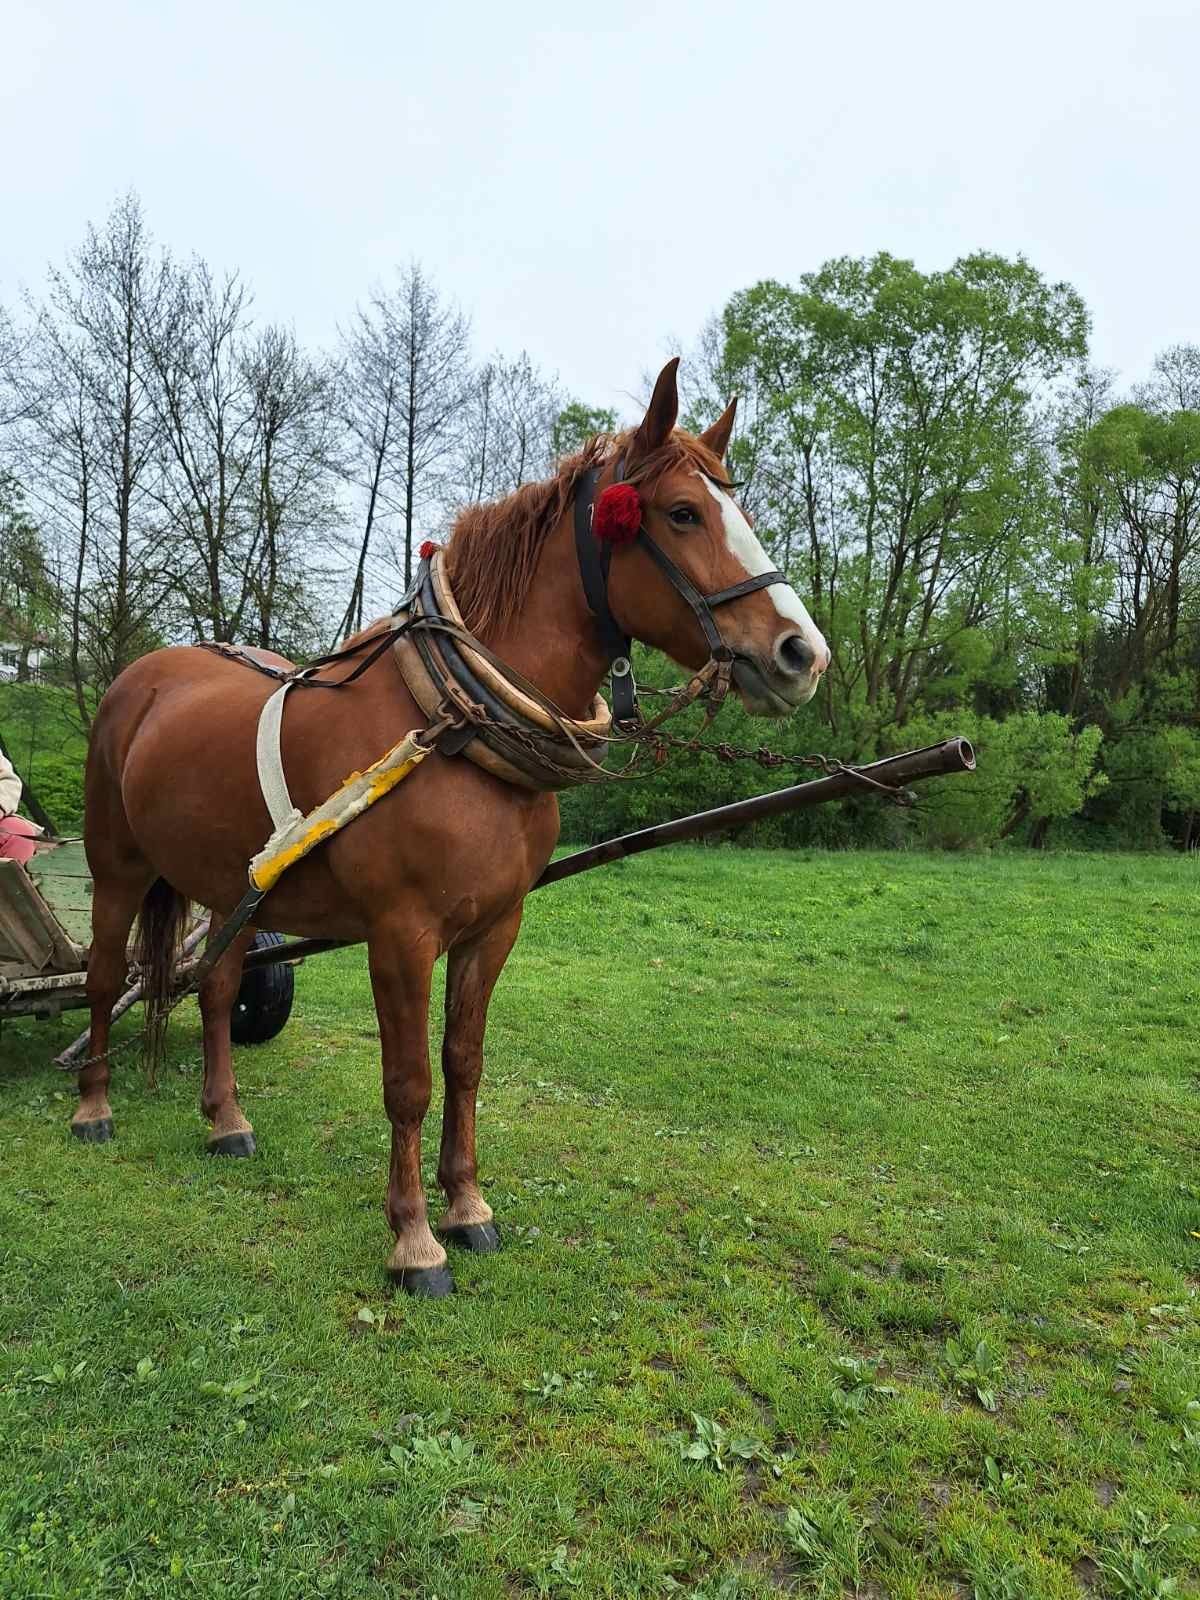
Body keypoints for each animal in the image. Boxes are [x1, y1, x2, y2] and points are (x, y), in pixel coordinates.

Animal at [75, 356, 825, 1292]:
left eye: (739, 511)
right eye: (683, 513)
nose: (802, 654)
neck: (453, 723)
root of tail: (142, 679)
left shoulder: (494, 926)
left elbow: (464, 1063)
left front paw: (467, 1206)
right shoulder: (401, 935)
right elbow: (409, 1082)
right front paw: (413, 1239)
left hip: (231, 885)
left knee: (214, 987)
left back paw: (226, 1122)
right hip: (117, 866)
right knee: (105, 976)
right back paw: (93, 1107)